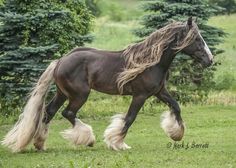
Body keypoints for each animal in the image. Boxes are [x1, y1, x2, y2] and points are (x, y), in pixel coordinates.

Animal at [1, 17, 214, 152]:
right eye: (196, 39)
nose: (210, 60)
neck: (151, 61)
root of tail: (60, 61)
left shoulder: (159, 91)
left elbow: (176, 107)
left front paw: (176, 134)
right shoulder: (140, 95)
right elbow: (129, 118)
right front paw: (117, 143)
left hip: (62, 93)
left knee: (48, 113)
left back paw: (40, 144)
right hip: (79, 94)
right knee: (68, 113)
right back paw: (88, 139)